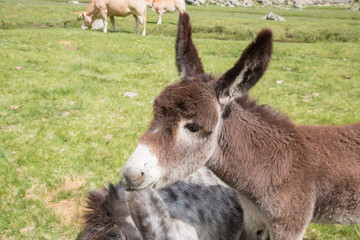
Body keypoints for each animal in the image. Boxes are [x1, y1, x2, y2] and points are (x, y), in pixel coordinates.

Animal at [121, 12, 360, 240]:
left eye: (194, 127)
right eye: (155, 113)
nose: (130, 175)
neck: (269, 165)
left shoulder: (290, 224)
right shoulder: (252, 218)